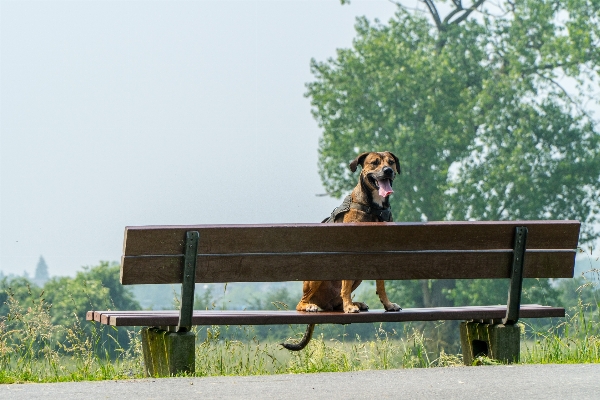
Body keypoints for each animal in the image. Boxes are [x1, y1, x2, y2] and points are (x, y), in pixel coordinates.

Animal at [282, 150, 404, 350]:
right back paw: (313, 306)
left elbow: (381, 286)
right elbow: (345, 286)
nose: (387, 171)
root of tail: (325, 304)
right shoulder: (349, 253)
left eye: (391, 162)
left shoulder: (381, 255)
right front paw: (349, 307)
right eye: (374, 162)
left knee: (336, 300)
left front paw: (387, 305)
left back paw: (353, 303)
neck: (373, 208)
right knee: (301, 302)